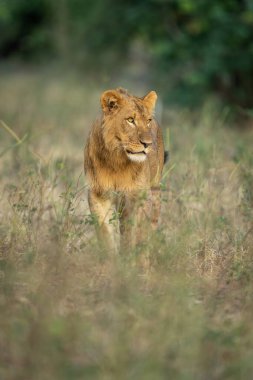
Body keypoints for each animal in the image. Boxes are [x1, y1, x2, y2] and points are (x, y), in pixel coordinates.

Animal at [84, 86, 167, 252]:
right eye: (130, 120)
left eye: (148, 121)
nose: (148, 144)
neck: (116, 161)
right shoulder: (98, 194)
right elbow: (104, 233)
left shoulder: (139, 196)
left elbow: (134, 233)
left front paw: (131, 256)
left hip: (155, 191)